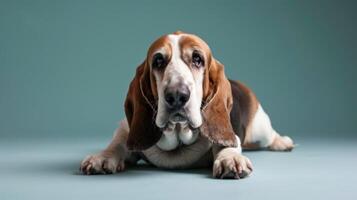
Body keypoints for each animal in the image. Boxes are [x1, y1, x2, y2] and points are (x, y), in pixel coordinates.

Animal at [80, 31, 292, 180]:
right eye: (158, 61)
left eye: (197, 59)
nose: (176, 95)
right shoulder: (125, 130)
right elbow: (117, 144)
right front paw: (102, 157)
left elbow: (226, 144)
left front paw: (229, 158)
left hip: (259, 130)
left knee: (270, 135)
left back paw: (283, 142)